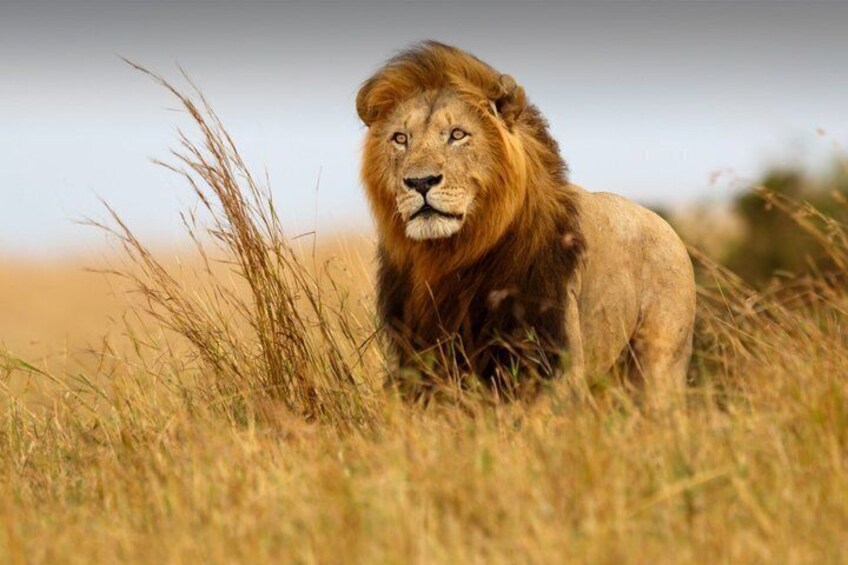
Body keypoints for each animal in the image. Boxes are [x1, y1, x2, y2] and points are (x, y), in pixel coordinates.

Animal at [356, 41, 696, 403]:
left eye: (457, 135)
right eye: (400, 138)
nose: (420, 182)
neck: (451, 255)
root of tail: (668, 229)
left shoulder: (551, 354)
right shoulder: (419, 355)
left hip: (659, 361)